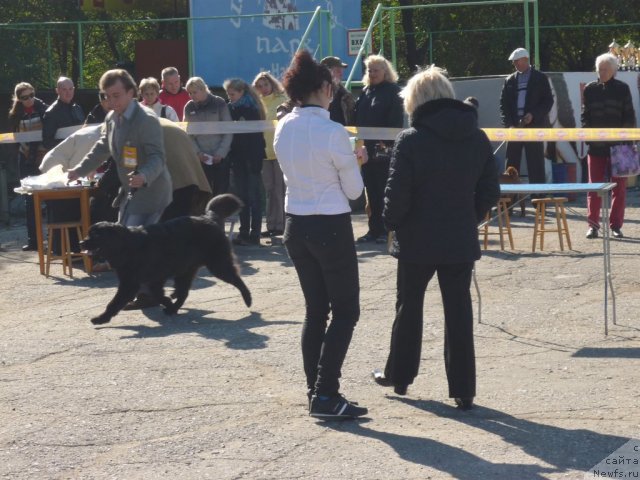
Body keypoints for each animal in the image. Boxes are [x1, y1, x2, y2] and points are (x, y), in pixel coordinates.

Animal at [79, 193, 250, 324]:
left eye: (96, 235)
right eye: (89, 233)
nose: (81, 243)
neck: (127, 247)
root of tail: (210, 218)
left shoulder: (131, 283)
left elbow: (114, 303)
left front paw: (101, 318)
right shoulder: (152, 280)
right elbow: (158, 295)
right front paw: (168, 301)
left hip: (217, 264)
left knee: (237, 279)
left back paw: (248, 299)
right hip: (186, 271)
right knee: (183, 292)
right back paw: (173, 308)